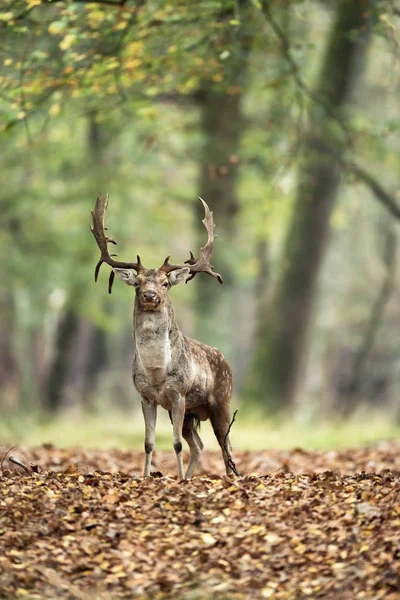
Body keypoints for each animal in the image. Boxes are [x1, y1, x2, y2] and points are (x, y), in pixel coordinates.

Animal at [90, 195, 234, 480]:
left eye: (165, 283)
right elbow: (148, 443)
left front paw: (176, 479)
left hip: (221, 400)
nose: (150, 295)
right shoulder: (146, 396)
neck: (157, 372)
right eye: (138, 283)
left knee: (226, 446)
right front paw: (146, 476)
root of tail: (226, 362)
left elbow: (176, 444)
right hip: (191, 413)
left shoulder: (179, 393)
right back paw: (190, 476)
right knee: (199, 445)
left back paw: (228, 476)